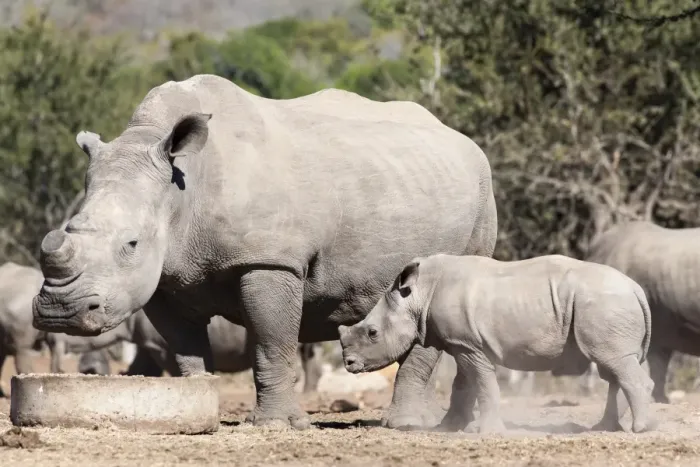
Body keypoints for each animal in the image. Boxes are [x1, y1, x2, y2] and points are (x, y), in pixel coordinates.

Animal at [32, 74, 498, 429]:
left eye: (130, 244)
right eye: (65, 232)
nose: (60, 311)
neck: (182, 188)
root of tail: (464, 141)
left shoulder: (270, 259)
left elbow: (271, 340)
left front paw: (276, 425)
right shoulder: (162, 276)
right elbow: (184, 347)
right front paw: (196, 404)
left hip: (481, 195)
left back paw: (407, 426)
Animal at [338, 254, 656, 433]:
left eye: (372, 333)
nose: (349, 363)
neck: (418, 295)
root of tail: (636, 288)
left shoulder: (467, 344)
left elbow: (483, 383)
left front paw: (486, 432)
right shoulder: (464, 342)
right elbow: (467, 383)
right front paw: (451, 428)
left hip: (605, 303)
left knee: (614, 362)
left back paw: (641, 430)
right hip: (607, 306)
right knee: (614, 365)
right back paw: (605, 429)